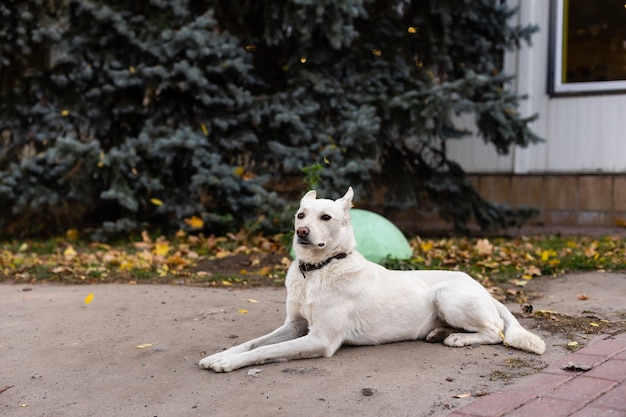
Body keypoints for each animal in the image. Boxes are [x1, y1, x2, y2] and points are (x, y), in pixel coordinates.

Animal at [199, 187, 540, 372]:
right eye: (300, 215)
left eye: (326, 217)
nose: (301, 232)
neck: (318, 270)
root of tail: (482, 287)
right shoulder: (294, 326)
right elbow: (252, 343)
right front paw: (219, 355)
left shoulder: (320, 339)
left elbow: (264, 352)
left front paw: (227, 364)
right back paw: (439, 332)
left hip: (447, 296)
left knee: (495, 332)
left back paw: (457, 338)